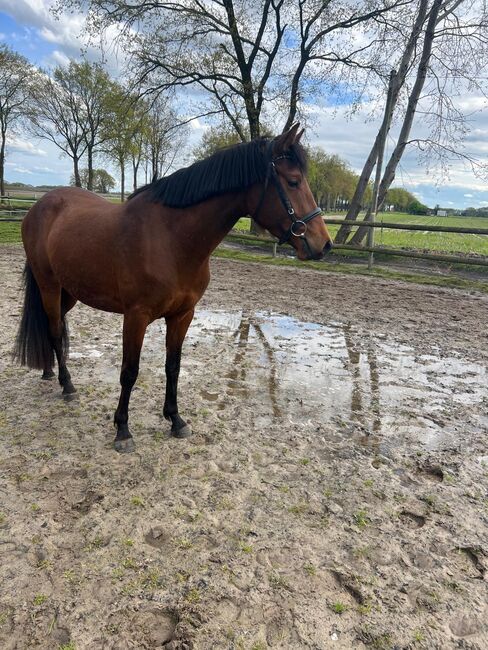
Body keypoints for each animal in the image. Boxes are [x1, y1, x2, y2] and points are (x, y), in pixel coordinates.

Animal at [13, 126, 332, 450]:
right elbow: (129, 372)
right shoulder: (136, 316)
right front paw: (123, 430)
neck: (171, 238)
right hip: (49, 285)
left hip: (70, 292)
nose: (324, 244)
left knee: (53, 327)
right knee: (54, 330)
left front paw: (175, 420)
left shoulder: (183, 315)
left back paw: (50, 372)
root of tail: (40, 206)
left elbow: (173, 367)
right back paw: (67, 385)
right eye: (293, 181)